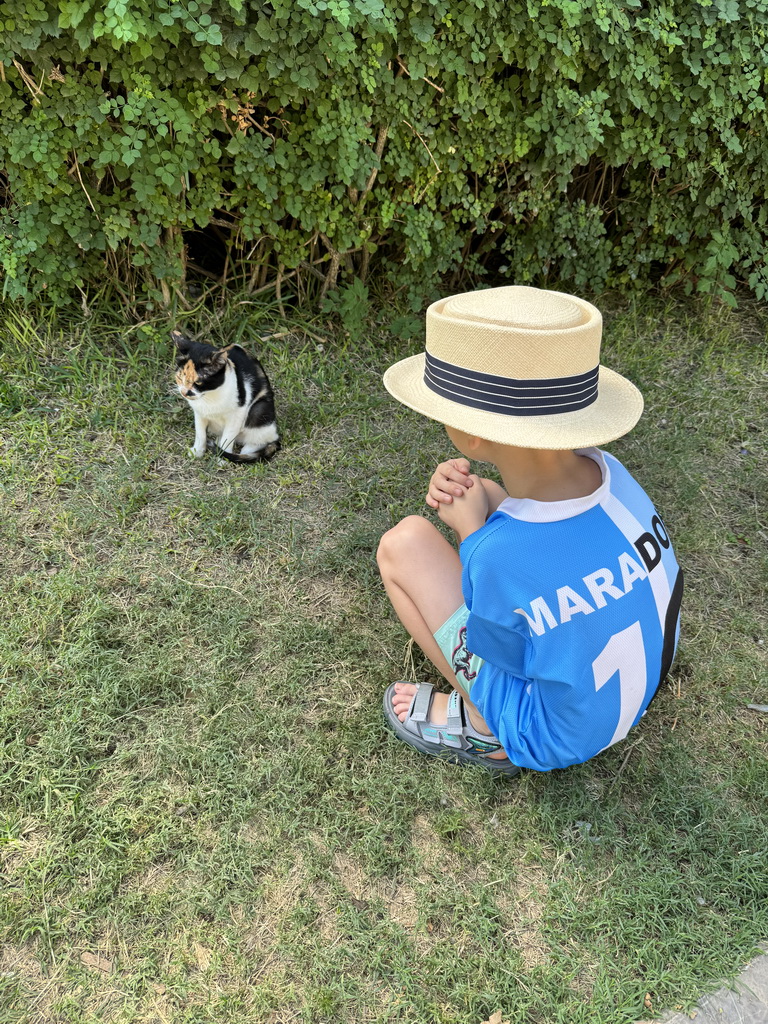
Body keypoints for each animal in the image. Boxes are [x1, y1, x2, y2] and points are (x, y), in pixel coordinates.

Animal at [173, 329, 280, 462]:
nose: (184, 392)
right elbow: (200, 433)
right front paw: (197, 451)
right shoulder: (199, 413)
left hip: (260, 410)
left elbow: (228, 437)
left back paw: (246, 450)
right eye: (179, 378)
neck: (209, 396)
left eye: (198, 382)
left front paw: (222, 459)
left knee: (264, 439)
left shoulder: (237, 415)